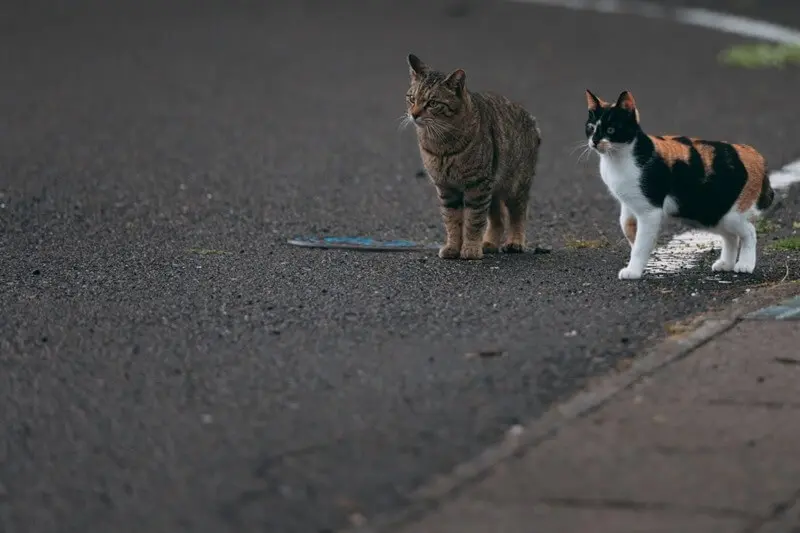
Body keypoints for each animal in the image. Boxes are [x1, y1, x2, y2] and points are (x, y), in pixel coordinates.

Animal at [404, 54, 540, 260]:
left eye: (432, 103)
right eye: (412, 98)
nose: (414, 114)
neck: (441, 143)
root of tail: (531, 118)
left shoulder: (477, 186)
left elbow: (474, 221)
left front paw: (470, 249)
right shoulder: (447, 188)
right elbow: (452, 221)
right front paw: (453, 247)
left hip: (515, 185)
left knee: (518, 213)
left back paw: (515, 242)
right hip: (494, 188)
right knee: (498, 218)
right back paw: (489, 243)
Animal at [584, 88, 772, 278]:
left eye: (611, 129)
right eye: (591, 128)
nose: (595, 141)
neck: (617, 159)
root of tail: (753, 153)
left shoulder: (649, 212)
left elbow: (641, 244)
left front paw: (633, 271)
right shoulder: (628, 205)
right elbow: (627, 227)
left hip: (731, 215)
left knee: (749, 232)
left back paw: (745, 265)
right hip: (712, 214)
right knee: (731, 236)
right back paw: (726, 264)